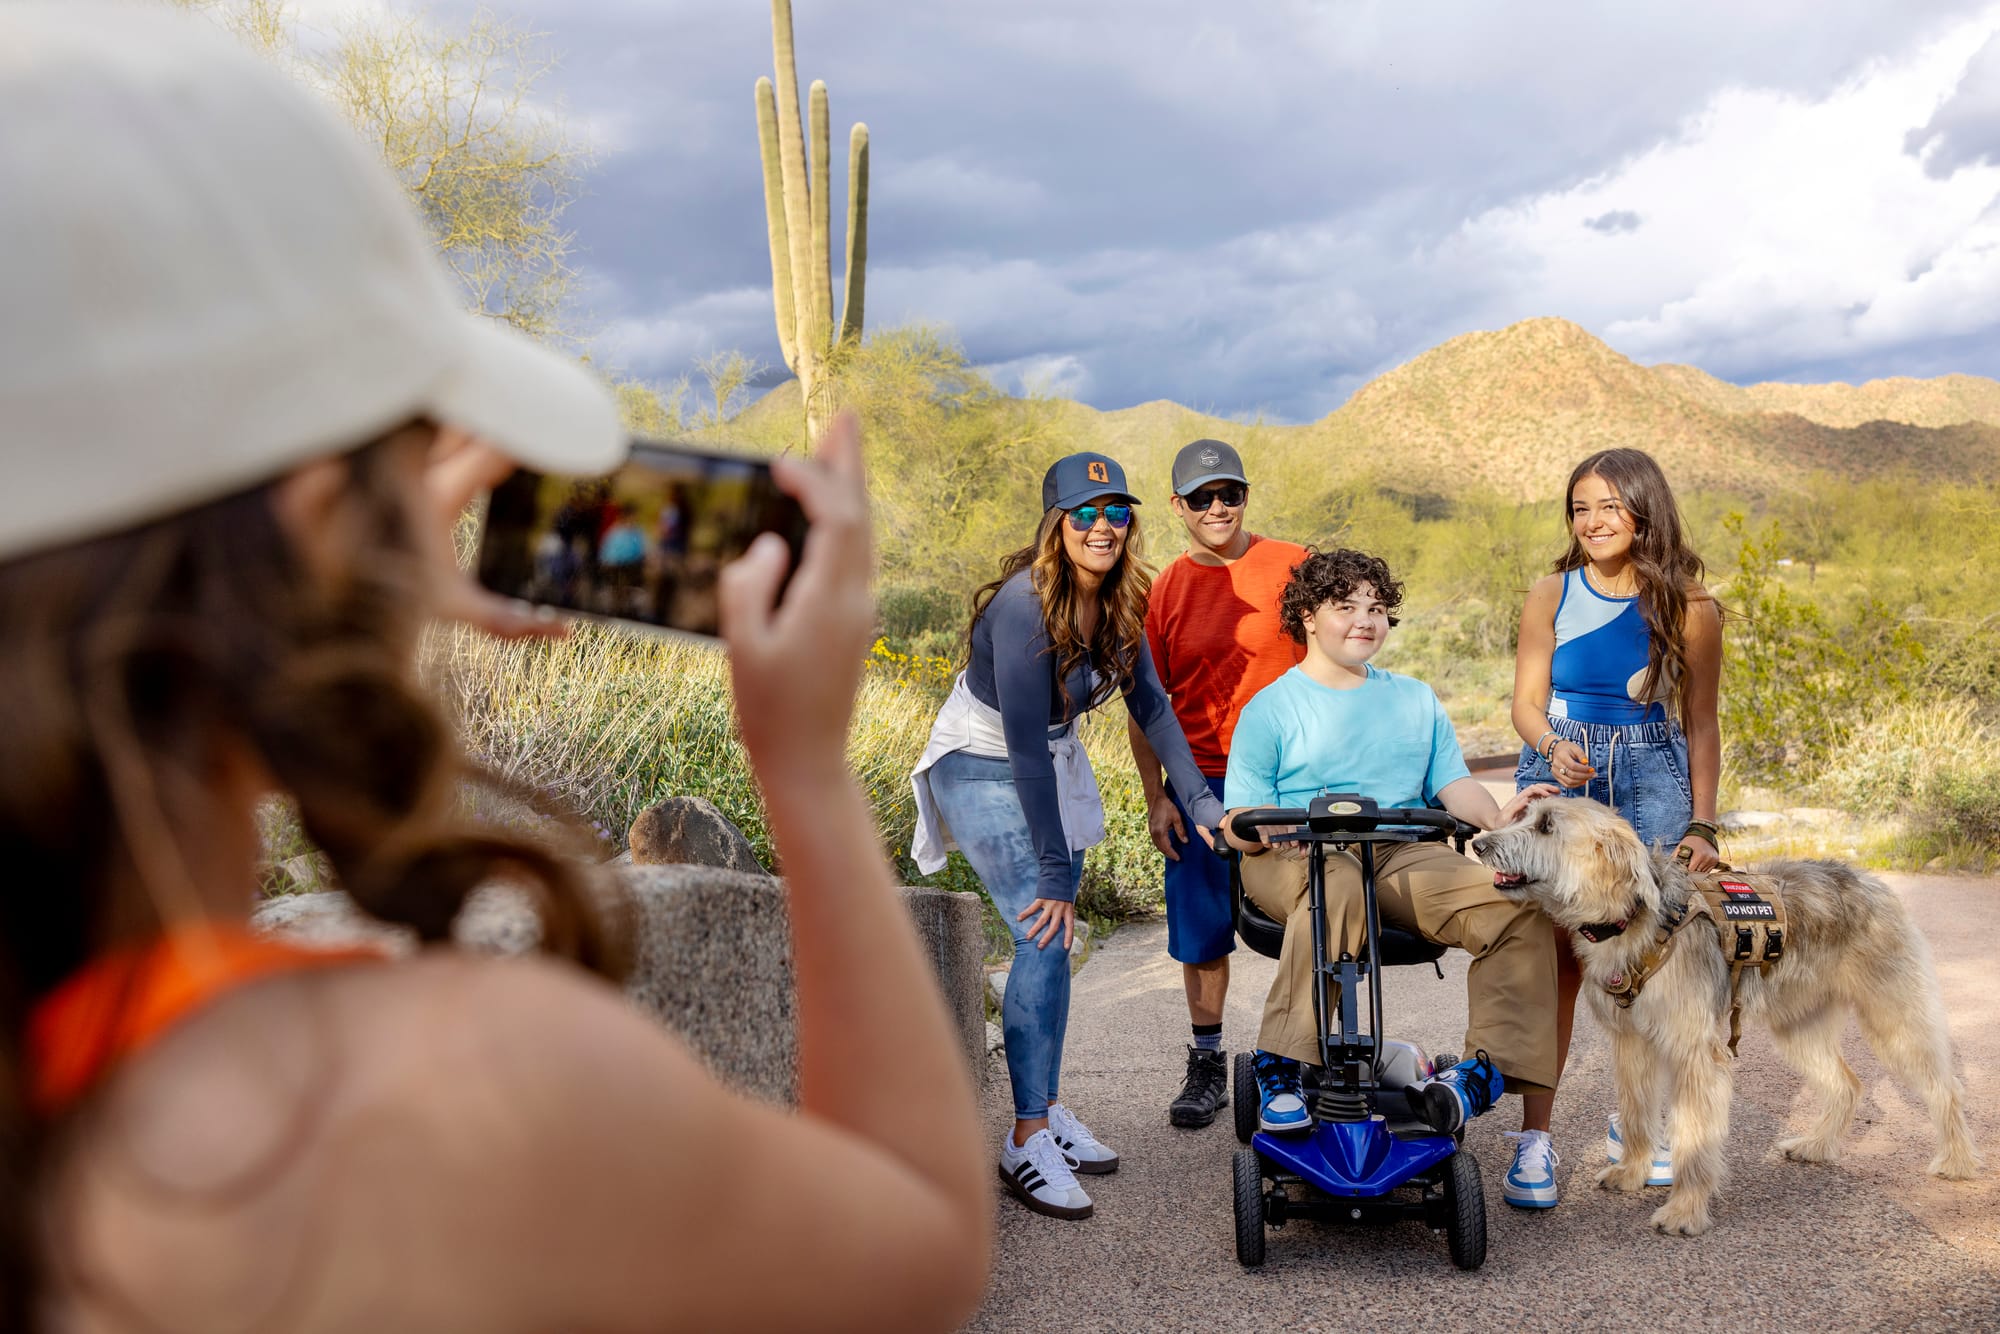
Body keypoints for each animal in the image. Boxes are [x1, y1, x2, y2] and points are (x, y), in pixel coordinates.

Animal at [1480, 800, 1976, 1240]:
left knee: (1945, 1088)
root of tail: (1866, 877)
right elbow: (1637, 1112)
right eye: (1524, 814)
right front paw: (1632, 1171)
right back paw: (1816, 1146)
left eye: (1546, 825)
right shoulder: (1631, 1043)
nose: (1479, 842)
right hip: (1799, 1027)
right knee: (1847, 1085)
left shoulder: (1695, 1054)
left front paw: (1684, 1210)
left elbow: (1693, 1136)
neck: (1631, 920)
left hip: (1895, 1019)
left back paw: (1958, 1161)